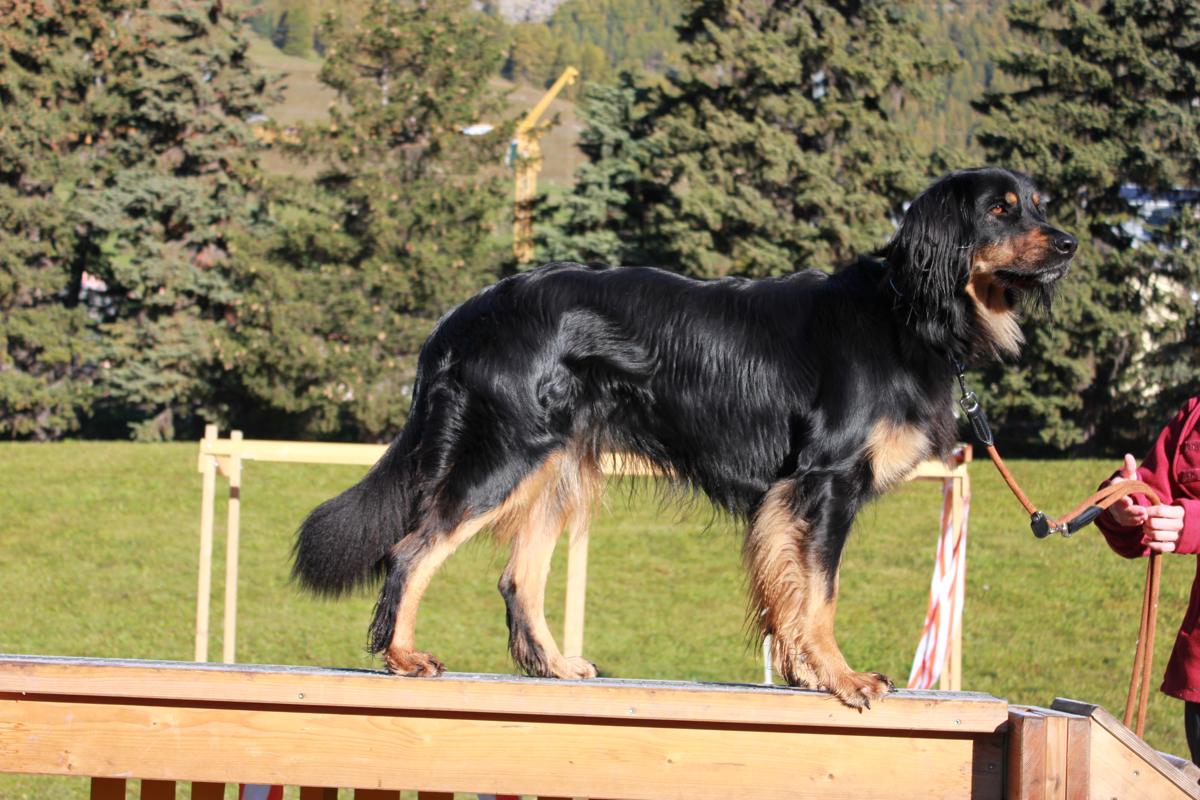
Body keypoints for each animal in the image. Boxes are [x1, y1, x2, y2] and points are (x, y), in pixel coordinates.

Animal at [294, 167, 1077, 709]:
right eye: (1000, 209)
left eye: (1038, 202)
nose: (1070, 241)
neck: (905, 308)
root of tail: (463, 315)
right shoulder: (826, 480)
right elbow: (819, 592)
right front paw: (840, 676)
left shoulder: (793, 495)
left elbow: (790, 592)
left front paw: (803, 672)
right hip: (507, 451)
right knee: (413, 547)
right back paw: (402, 656)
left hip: (554, 463)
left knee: (518, 577)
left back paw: (554, 664)